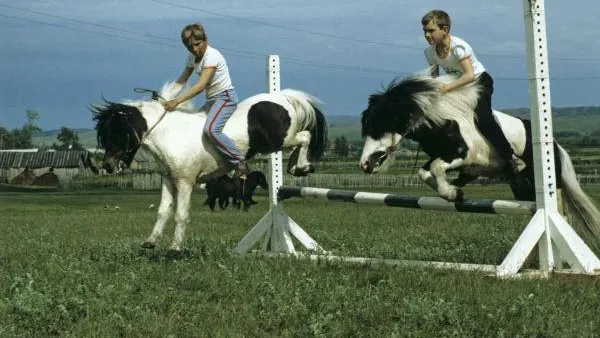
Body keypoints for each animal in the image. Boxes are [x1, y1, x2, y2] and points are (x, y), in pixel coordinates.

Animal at [92, 82, 328, 256]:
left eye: (118, 132)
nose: (107, 165)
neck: (170, 135)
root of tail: (282, 98)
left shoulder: (185, 182)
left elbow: (180, 214)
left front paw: (174, 249)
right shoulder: (168, 179)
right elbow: (162, 211)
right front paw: (150, 242)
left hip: (280, 139)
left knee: (305, 136)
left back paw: (302, 167)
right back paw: (295, 165)